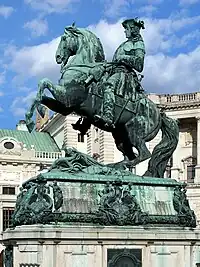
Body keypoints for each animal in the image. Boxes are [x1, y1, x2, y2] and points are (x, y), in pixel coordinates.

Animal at [24, 24, 178, 178]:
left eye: (64, 38)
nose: (58, 57)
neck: (82, 69)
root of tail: (159, 113)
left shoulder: (68, 98)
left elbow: (44, 82)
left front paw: (33, 117)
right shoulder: (65, 107)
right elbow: (41, 94)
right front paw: (34, 115)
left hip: (135, 131)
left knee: (144, 154)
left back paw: (115, 167)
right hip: (121, 136)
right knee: (132, 155)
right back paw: (111, 167)